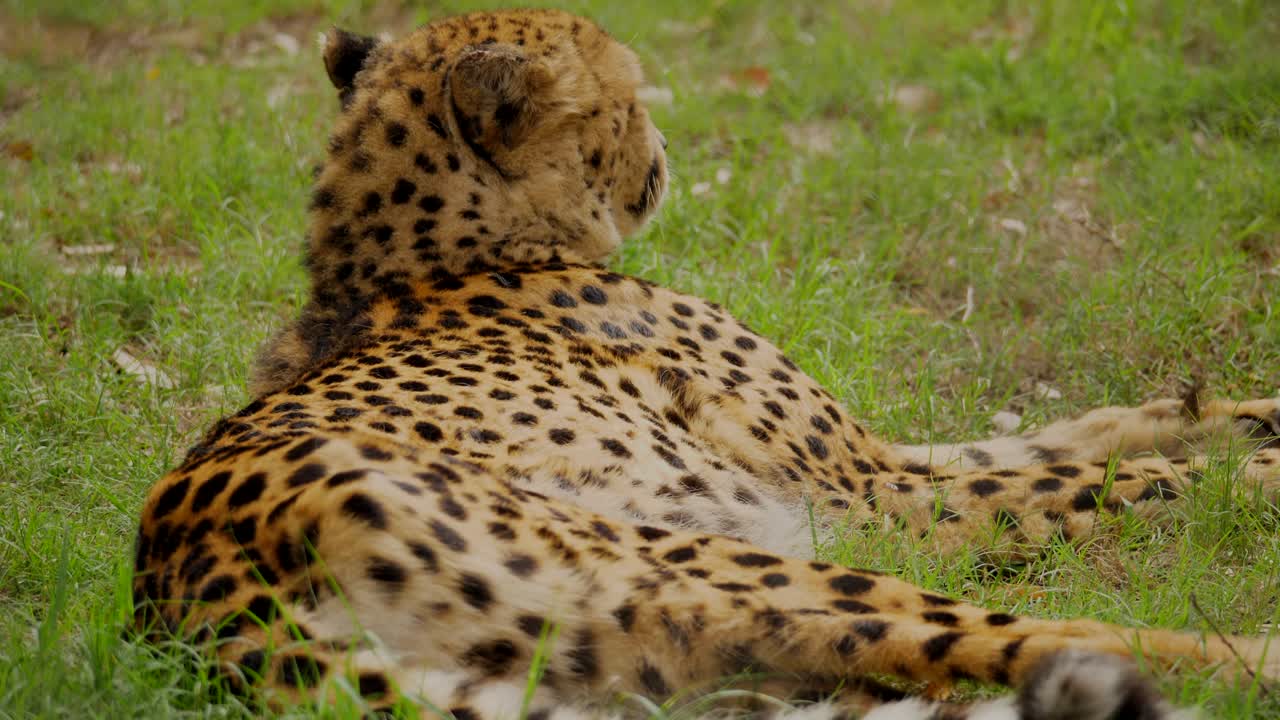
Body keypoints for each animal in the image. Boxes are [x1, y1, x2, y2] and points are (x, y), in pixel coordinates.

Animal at [130, 8, 1280, 719]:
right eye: (628, 99)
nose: (667, 146)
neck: (430, 253)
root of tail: (186, 581)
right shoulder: (873, 495)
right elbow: (1110, 475)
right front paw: (1248, 468)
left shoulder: (881, 462)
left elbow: (1083, 433)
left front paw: (1248, 413)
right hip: (718, 566)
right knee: (1034, 637)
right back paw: (1250, 660)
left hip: (657, 646)